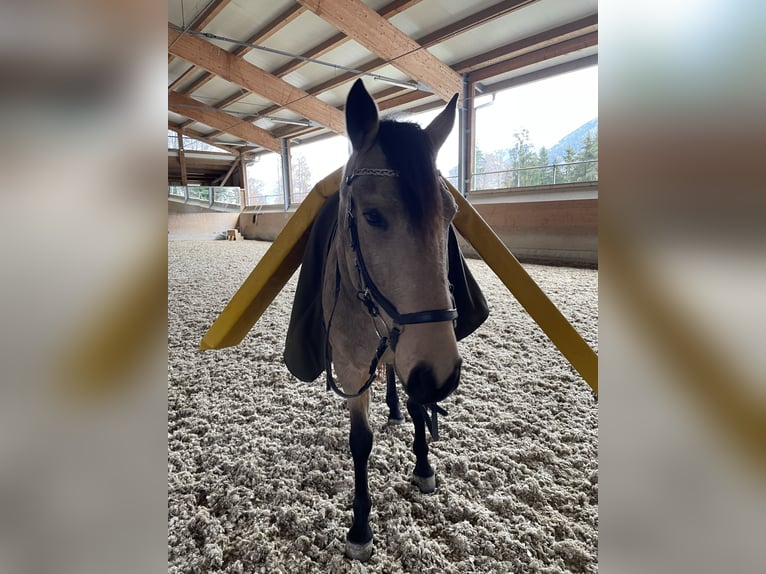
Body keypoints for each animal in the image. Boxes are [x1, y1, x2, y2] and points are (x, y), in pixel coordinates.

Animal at [322, 81, 462, 564]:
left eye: (451, 214)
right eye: (372, 216)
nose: (441, 374)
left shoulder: (415, 359)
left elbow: (421, 406)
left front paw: (423, 465)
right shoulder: (350, 369)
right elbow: (360, 442)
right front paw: (361, 527)